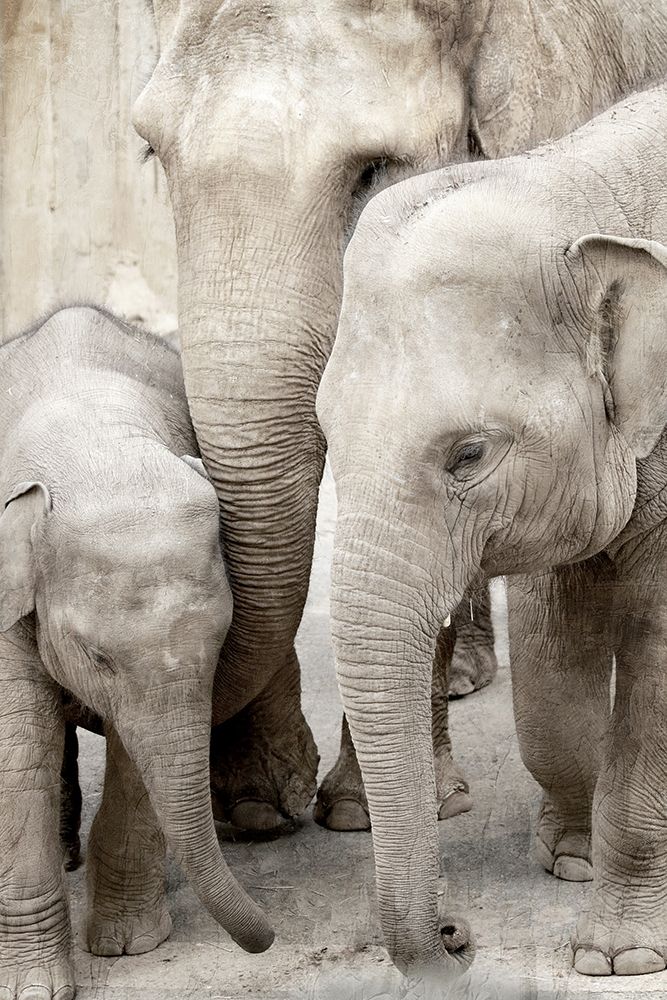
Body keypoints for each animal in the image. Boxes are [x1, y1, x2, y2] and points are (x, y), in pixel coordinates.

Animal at [0, 306, 272, 1000]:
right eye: (95, 657)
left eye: (221, 641)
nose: (271, 938)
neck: (97, 446)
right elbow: (19, 749)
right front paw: (33, 990)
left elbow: (136, 750)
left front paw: (129, 947)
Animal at [316, 83, 667, 980]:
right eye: (324, 430)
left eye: (468, 454)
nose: (456, 933)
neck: (572, 188)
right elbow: (550, 656)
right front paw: (570, 857)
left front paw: (616, 958)